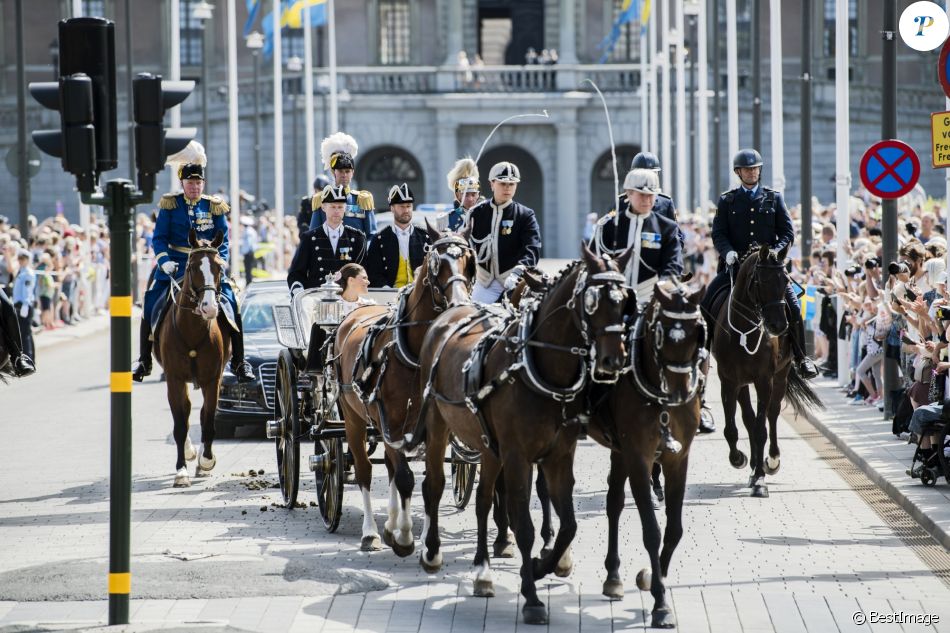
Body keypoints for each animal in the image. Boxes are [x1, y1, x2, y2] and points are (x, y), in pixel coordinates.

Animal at [155, 230, 233, 486]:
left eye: (219, 267)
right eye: (191, 266)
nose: (209, 308)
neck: (192, 330)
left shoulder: (213, 380)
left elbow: (207, 421)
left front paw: (206, 461)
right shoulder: (174, 379)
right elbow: (180, 425)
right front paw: (181, 470)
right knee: (186, 413)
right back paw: (189, 452)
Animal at [334, 227, 480, 552]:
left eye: (469, 261)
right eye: (437, 263)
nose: (460, 303)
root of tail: (357, 311)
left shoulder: (432, 425)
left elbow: (429, 478)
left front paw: (423, 536)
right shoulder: (392, 421)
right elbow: (404, 478)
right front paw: (403, 536)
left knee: (388, 466)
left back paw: (389, 522)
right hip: (353, 418)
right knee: (365, 470)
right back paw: (371, 532)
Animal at [416, 244, 632, 624]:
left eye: (624, 301)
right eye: (592, 301)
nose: (612, 360)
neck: (538, 368)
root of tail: (453, 312)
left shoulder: (558, 455)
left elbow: (568, 524)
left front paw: (545, 563)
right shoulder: (518, 457)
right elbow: (525, 525)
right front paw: (531, 596)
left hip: (488, 446)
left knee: (483, 499)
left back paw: (483, 570)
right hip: (438, 424)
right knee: (436, 484)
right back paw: (432, 551)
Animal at [592, 280, 712, 628]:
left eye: (697, 333)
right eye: (660, 334)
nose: (678, 392)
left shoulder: (677, 459)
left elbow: (674, 529)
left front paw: (656, 577)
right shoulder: (639, 458)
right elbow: (652, 530)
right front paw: (660, 603)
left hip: (618, 452)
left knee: (614, 503)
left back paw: (613, 576)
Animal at [712, 244, 820, 496]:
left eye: (785, 280)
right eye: (761, 281)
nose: (779, 326)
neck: (744, 330)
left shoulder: (764, 380)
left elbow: (762, 428)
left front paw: (761, 479)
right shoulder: (728, 380)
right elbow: (732, 428)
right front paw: (739, 459)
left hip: (780, 377)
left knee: (771, 414)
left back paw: (770, 460)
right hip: (743, 383)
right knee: (748, 417)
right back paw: (753, 465)